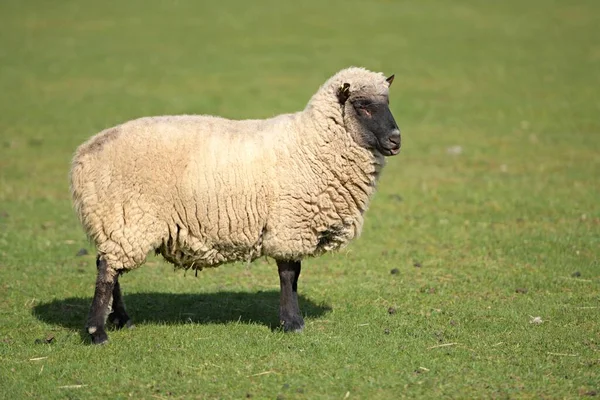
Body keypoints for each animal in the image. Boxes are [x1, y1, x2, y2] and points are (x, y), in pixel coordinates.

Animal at [70, 66, 400, 344]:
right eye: (363, 105)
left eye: (387, 101)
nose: (396, 139)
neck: (311, 143)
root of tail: (82, 155)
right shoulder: (289, 223)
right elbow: (289, 273)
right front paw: (292, 323)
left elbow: (294, 274)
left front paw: (292, 319)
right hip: (126, 218)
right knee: (107, 270)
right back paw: (98, 331)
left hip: (119, 223)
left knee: (109, 267)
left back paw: (121, 319)